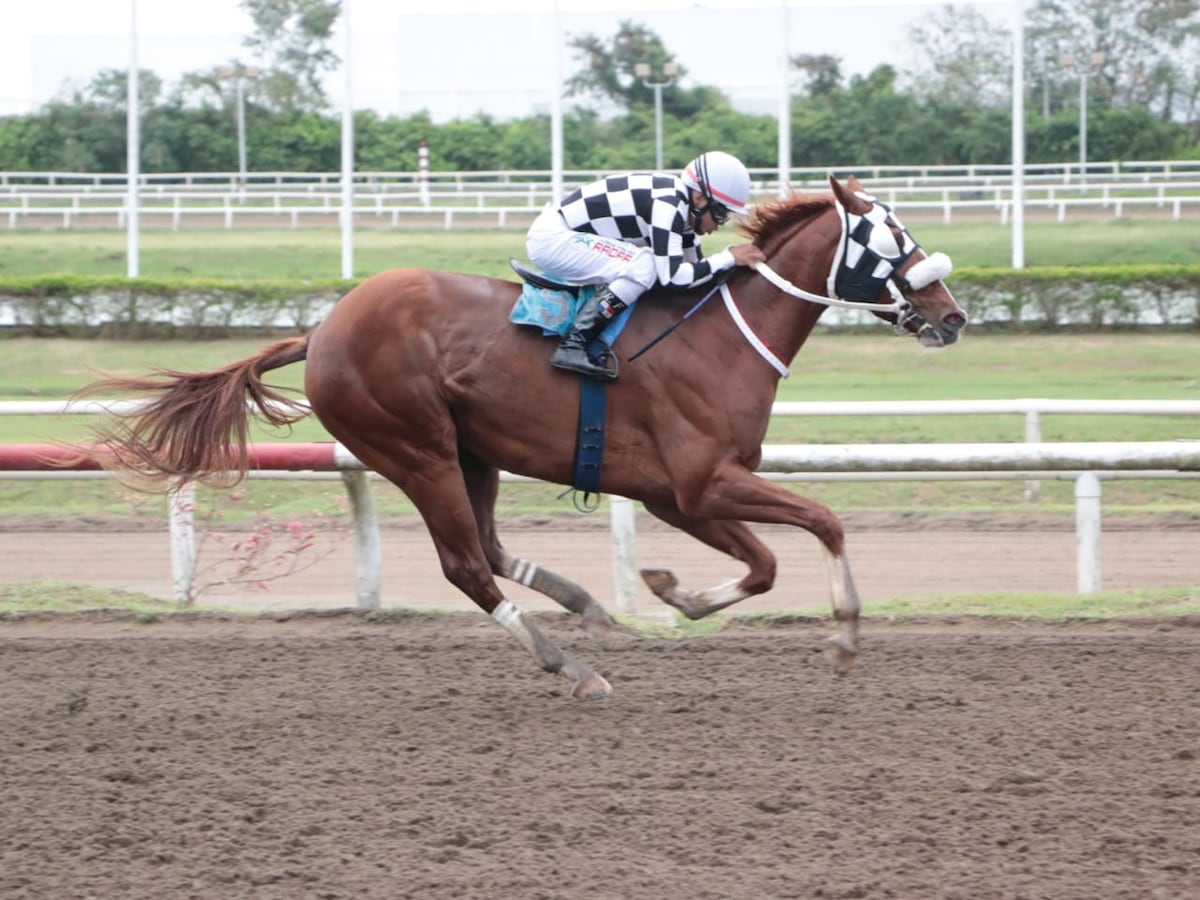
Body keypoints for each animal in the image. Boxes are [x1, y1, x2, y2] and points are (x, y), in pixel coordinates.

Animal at [77, 172, 964, 700]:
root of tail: (323, 329)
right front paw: (843, 637)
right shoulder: (700, 481)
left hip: (475, 451)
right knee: (467, 565)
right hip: (416, 448)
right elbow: (824, 523)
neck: (721, 336)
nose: (952, 315)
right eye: (893, 240)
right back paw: (570, 664)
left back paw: (587, 611)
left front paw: (670, 591)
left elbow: (767, 564)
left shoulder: (679, 495)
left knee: (492, 550)